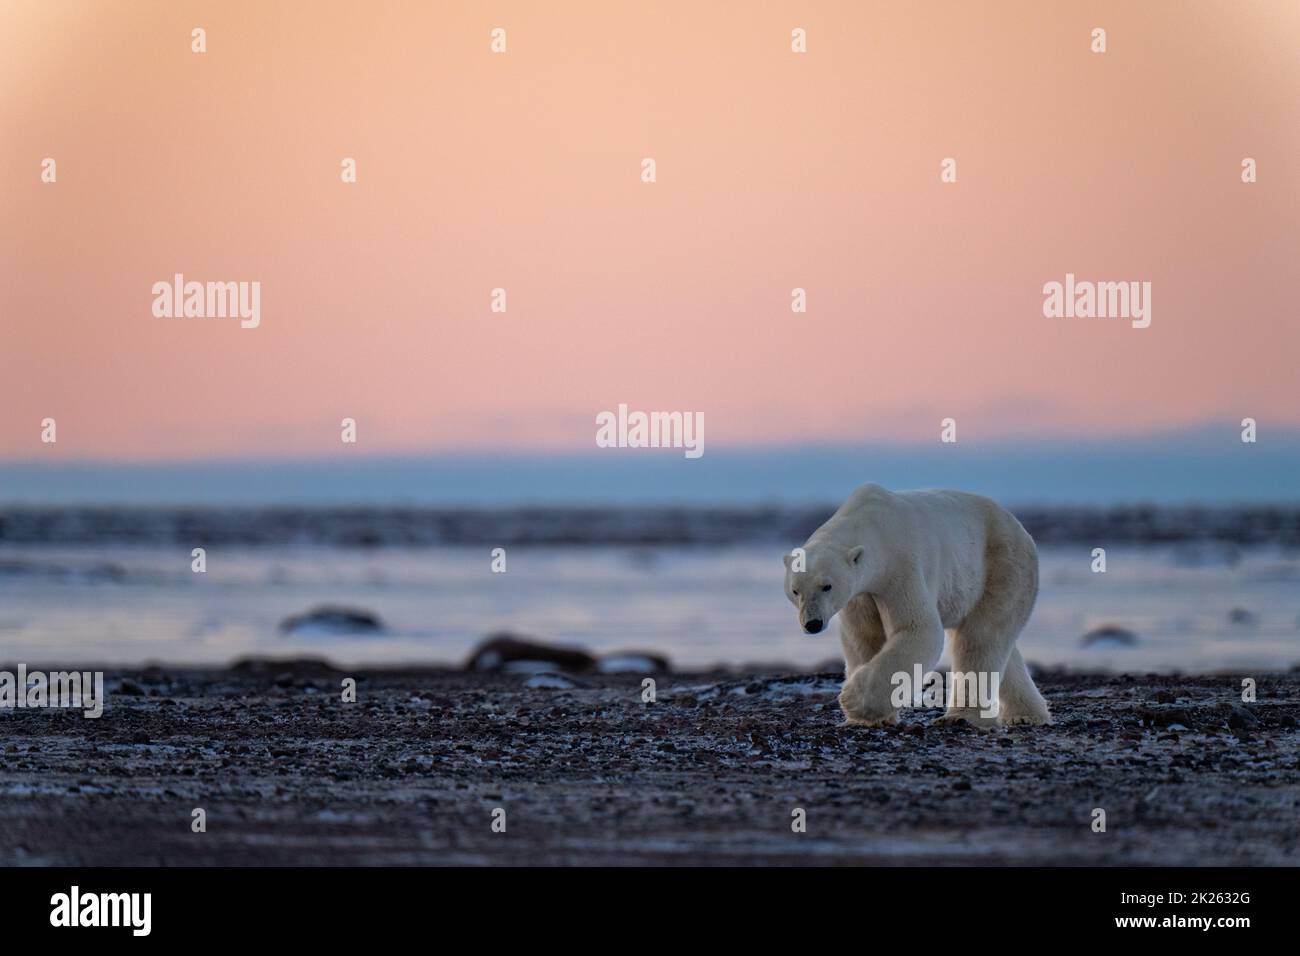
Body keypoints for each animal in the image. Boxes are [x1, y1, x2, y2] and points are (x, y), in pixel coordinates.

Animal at [780, 481, 1045, 728]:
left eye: (827, 586)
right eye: (795, 590)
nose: (812, 623)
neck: (871, 522)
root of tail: (1021, 529)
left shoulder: (900, 565)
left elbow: (918, 628)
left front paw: (852, 700)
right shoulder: (860, 594)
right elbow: (863, 636)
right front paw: (871, 718)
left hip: (1002, 563)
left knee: (980, 637)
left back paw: (961, 716)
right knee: (998, 643)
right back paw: (1027, 714)